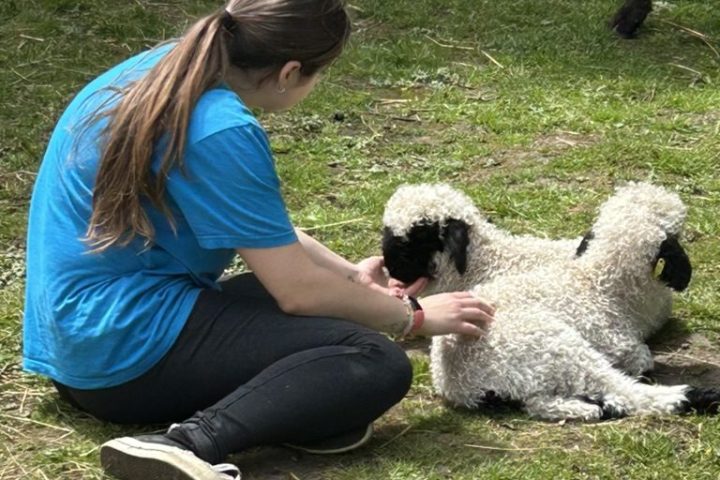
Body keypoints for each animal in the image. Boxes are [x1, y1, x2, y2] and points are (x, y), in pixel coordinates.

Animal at [427, 182, 720, 420]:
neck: (599, 282)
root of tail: (458, 384)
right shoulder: (621, 347)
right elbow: (641, 362)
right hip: (556, 346)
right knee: (623, 390)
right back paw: (695, 397)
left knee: (539, 403)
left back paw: (591, 408)